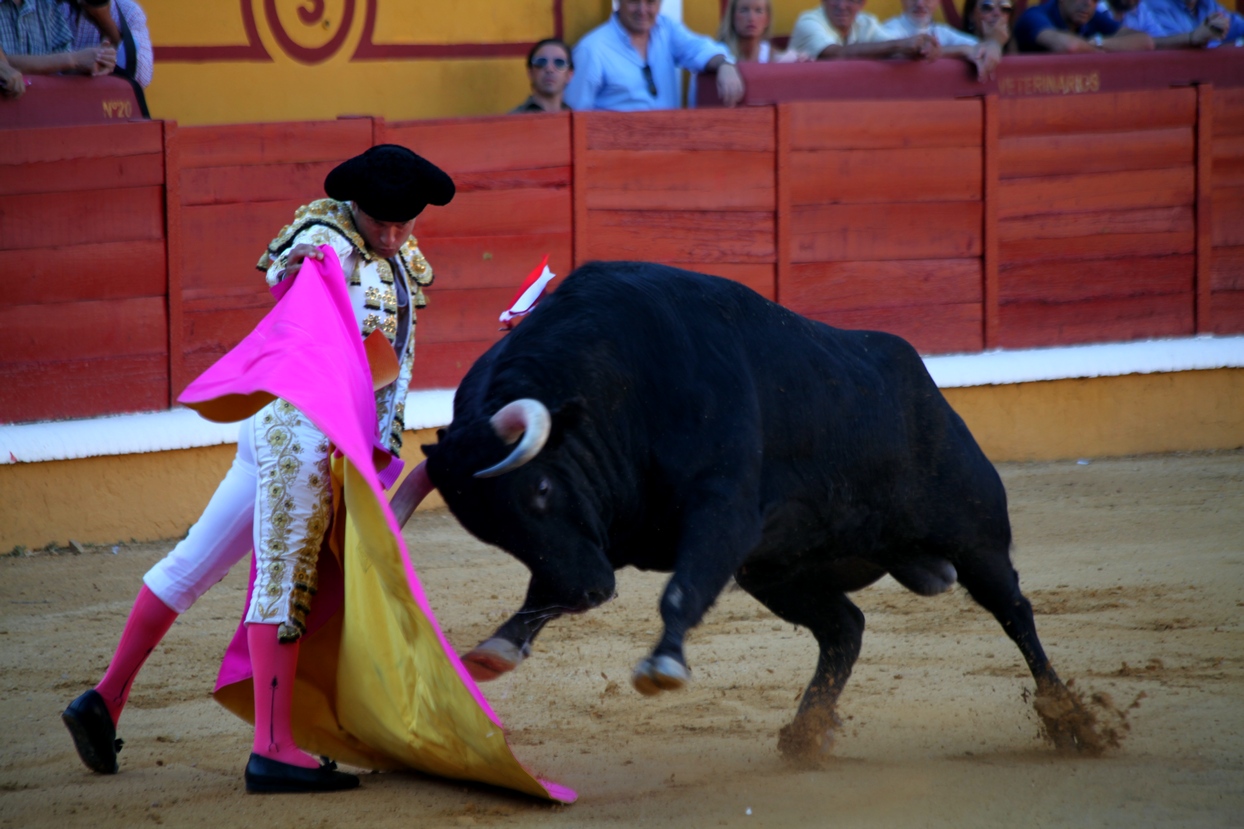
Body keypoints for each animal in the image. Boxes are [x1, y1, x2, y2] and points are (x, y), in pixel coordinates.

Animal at [422, 260, 1094, 756]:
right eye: (490, 531)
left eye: (539, 490)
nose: (588, 591)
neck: (615, 384)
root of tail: (926, 386)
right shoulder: (604, 543)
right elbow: (547, 590)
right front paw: (496, 648)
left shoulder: (723, 511)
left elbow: (679, 591)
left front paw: (663, 664)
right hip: (777, 571)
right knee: (844, 628)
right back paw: (805, 733)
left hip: (974, 536)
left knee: (1015, 613)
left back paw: (1071, 720)